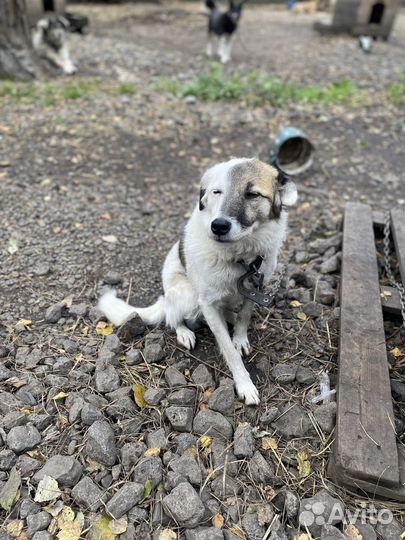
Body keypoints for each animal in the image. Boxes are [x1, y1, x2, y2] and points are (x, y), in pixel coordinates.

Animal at [96, 156, 296, 404]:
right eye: (216, 191)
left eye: (252, 194)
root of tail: (165, 297)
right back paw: (185, 332)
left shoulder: (255, 287)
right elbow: (229, 351)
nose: (218, 226)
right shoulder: (207, 303)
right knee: (173, 316)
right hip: (187, 295)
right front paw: (244, 385)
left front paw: (240, 337)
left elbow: (244, 316)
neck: (240, 258)